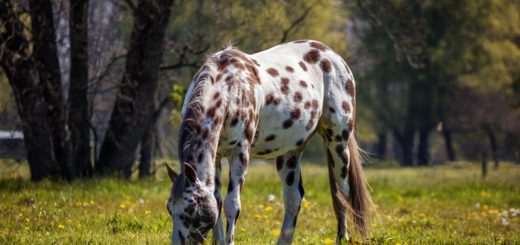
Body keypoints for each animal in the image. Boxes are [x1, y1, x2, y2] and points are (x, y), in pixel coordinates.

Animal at [165, 39, 372, 244]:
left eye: (190, 210)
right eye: (169, 208)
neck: (229, 89)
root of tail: (334, 56)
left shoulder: (240, 153)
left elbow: (232, 205)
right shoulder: (216, 156)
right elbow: (217, 201)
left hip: (338, 143)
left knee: (342, 193)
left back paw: (342, 237)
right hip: (290, 153)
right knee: (294, 199)